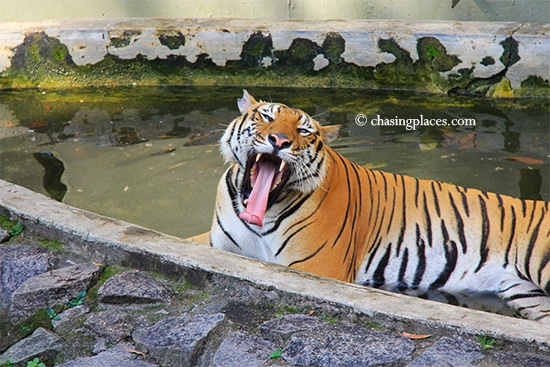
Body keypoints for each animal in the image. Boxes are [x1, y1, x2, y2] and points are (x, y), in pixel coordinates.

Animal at [208, 90, 550, 322]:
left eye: (303, 131)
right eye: (266, 117)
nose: (279, 140)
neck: (263, 213)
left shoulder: (314, 268)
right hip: (528, 295)